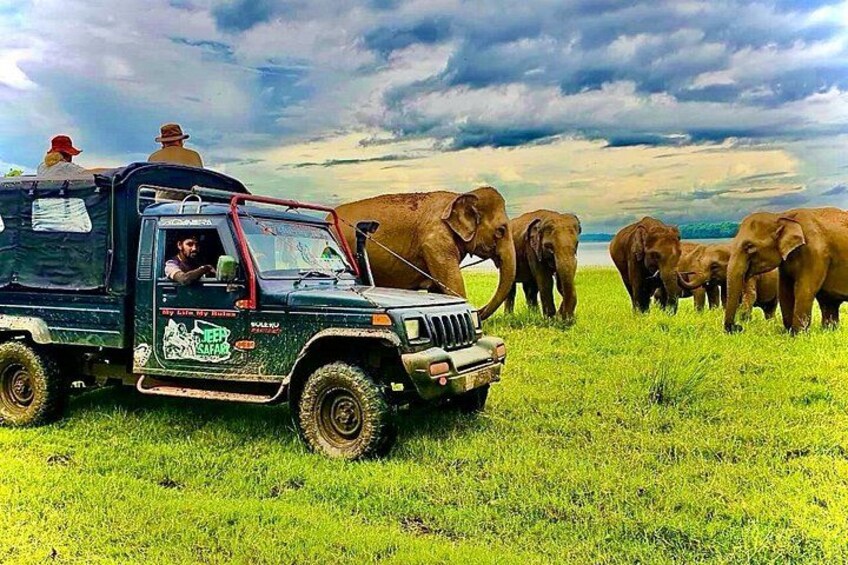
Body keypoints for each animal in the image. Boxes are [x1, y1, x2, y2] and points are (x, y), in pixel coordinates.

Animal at [333, 186, 516, 320]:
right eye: (500, 231)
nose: (479, 311)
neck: (458, 197)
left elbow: (438, 288)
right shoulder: (435, 243)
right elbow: (452, 283)